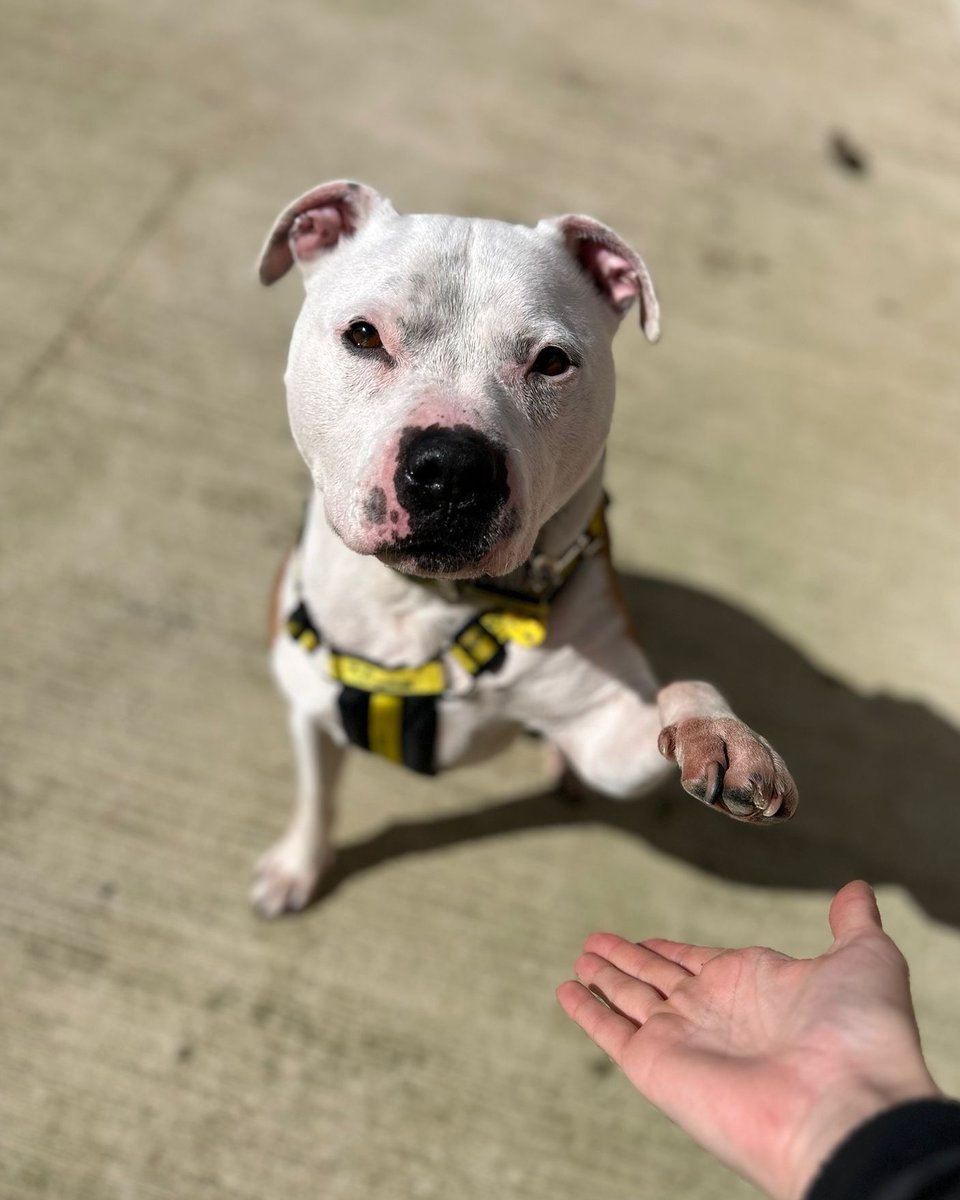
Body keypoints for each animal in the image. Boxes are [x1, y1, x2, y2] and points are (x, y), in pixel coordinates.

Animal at [250, 177, 796, 912]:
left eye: (552, 362)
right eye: (364, 335)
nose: (452, 468)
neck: (432, 603)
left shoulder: (604, 735)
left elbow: (684, 688)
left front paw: (723, 736)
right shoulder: (309, 703)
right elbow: (317, 794)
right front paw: (297, 866)